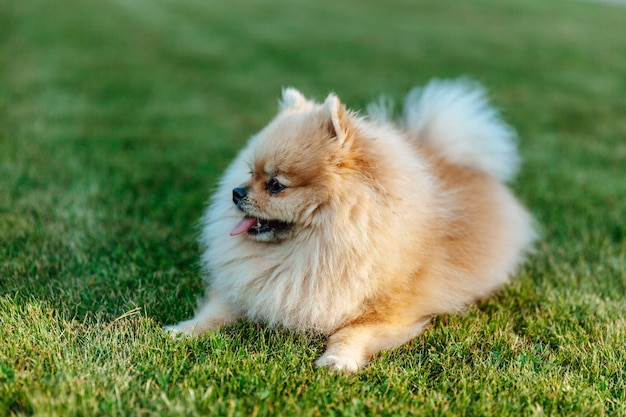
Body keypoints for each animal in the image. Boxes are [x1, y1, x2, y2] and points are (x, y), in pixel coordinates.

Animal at [167, 79, 536, 372]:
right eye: (249, 172)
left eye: (275, 185)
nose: (236, 193)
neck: (308, 248)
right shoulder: (248, 286)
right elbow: (215, 311)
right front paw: (184, 329)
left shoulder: (387, 314)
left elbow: (350, 332)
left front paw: (337, 360)